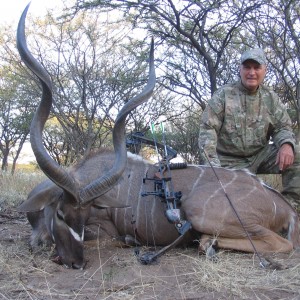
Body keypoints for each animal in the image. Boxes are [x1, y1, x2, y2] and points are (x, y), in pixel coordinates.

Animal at [18, 2, 300, 270]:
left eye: (77, 216)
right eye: (61, 215)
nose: (75, 262)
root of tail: (285, 208)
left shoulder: (103, 227)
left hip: (198, 210)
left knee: (282, 243)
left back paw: (208, 242)